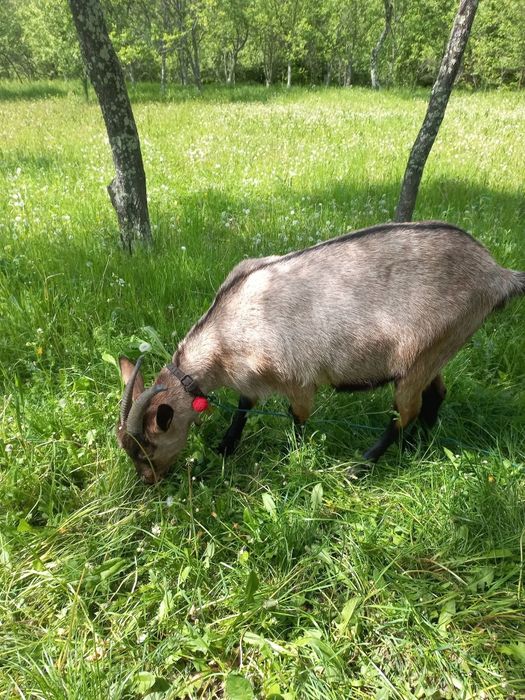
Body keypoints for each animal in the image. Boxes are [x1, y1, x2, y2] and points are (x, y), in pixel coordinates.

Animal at [117, 221, 525, 484]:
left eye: (147, 447)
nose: (148, 481)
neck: (228, 329)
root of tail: (496, 274)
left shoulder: (297, 377)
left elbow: (297, 418)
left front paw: (292, 458)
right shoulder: (250, 379)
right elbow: (244, 407)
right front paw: (225, 447)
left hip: (422, 353)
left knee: (405, 410)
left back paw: (362, 466)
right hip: (438, 351)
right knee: (436, 395)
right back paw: (416, 447)